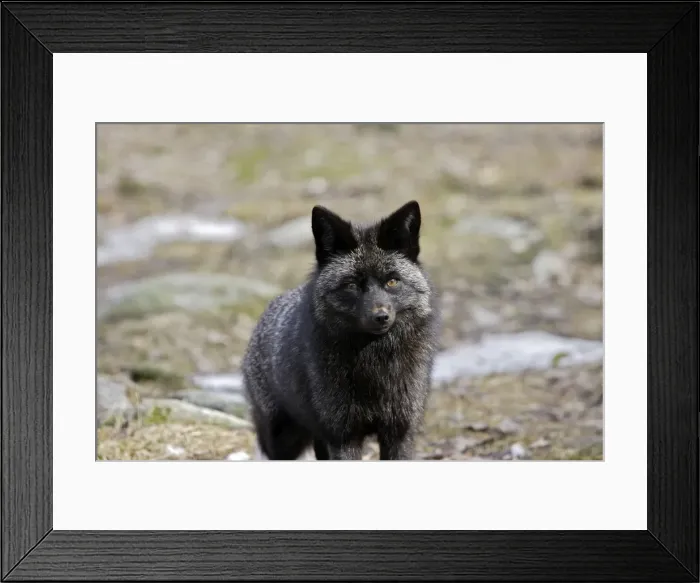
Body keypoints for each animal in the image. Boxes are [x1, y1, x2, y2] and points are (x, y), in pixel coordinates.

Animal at [241, 200, 441, 460]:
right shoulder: (344, 437)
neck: (374, 363)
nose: (381, 316)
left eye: (392, 282)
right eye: (352, 285)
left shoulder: (399, 432)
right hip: (283, 440)